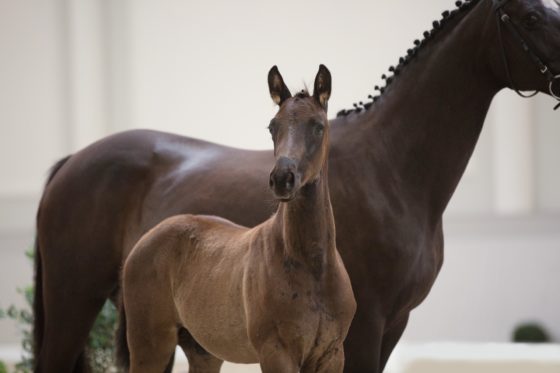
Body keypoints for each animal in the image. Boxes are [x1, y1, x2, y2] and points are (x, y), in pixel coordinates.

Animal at [123, 64, 356, 372]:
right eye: (272, 126)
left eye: (318, 126)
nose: (282, 179)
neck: (312, 267)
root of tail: (144, 241)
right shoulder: (276, 353)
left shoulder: (331, 355)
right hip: (150, 346)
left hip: (203, 352)